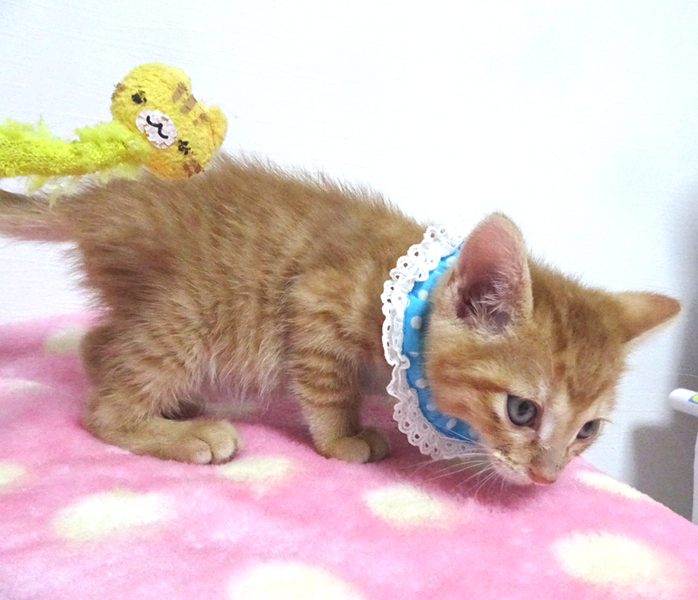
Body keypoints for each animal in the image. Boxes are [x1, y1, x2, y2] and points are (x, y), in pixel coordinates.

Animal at [0, 155, 679, 485]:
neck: (405, 291)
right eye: (521, 411)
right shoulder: (316, 301)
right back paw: (183, 431)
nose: (546, 478)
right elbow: (328, 388)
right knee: (103, 404)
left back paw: (174, 404)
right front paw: (343, 437)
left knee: (98, 342)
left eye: (587, 431)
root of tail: (100, 202)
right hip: (192, 313)